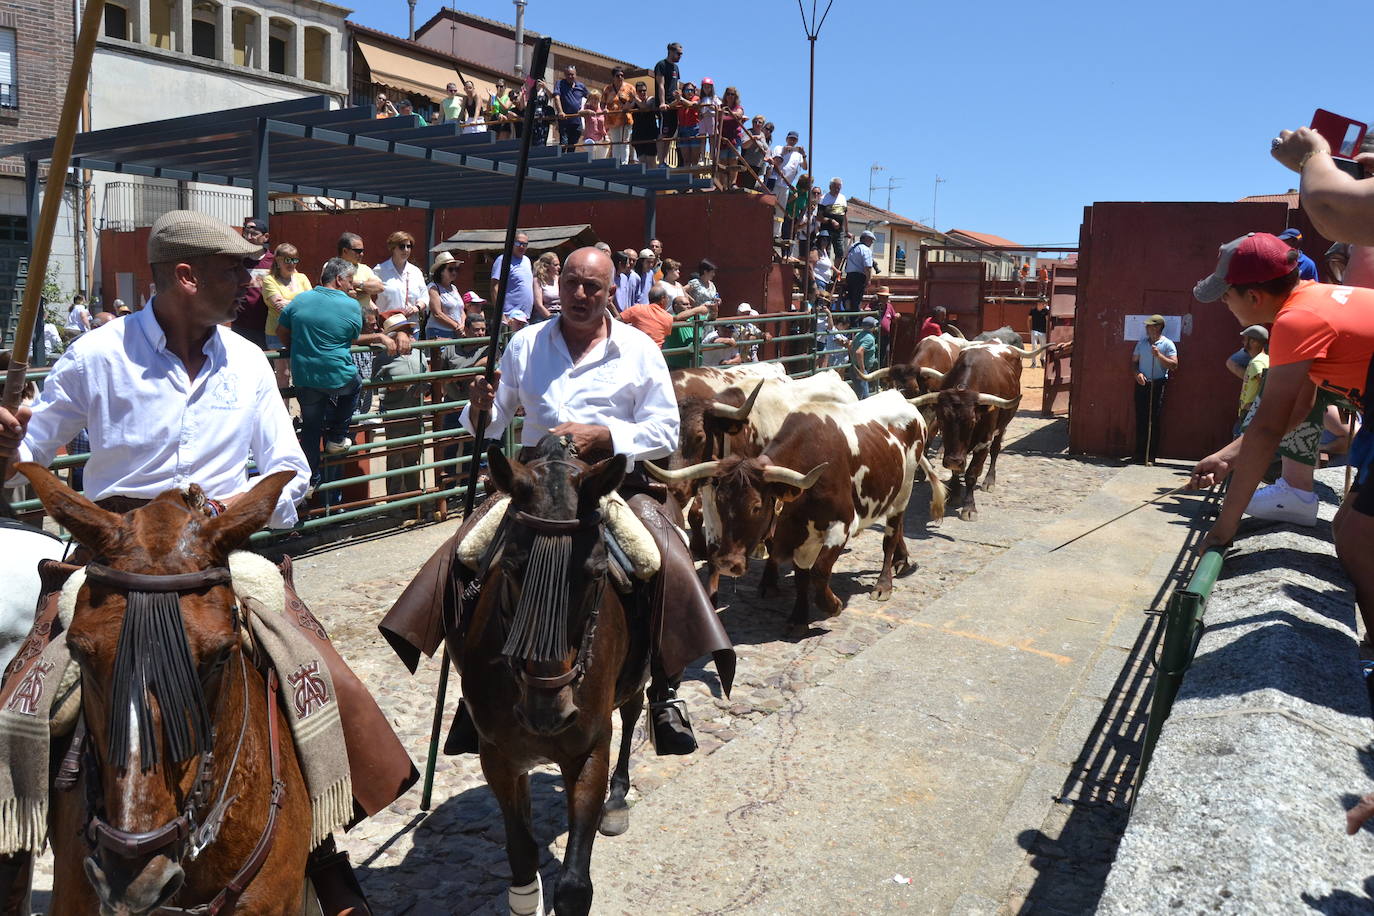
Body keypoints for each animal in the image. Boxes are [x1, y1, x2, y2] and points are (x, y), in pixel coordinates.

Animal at [458, 439, 651, 916]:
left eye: (597, 571)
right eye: (510, 567)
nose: (548, 713)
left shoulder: (588, 750)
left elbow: (574, 885)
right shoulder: (499, 756)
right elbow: (522, 856)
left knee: (634, 710)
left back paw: (618, 800)